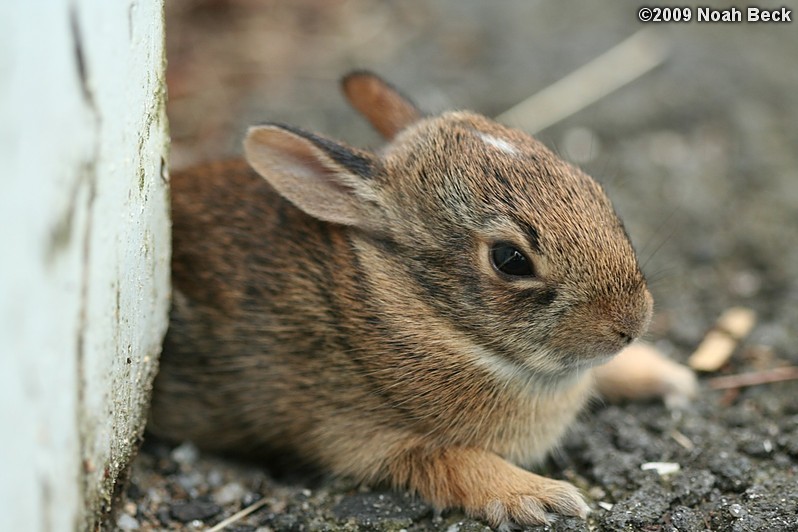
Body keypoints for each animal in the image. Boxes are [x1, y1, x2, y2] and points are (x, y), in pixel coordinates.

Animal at [148, 72, 692, 528]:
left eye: (593, 189)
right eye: (510, 259)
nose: (630, 325)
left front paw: (669, 376)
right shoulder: (363, 436)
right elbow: (455, 463)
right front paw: (542, 498)